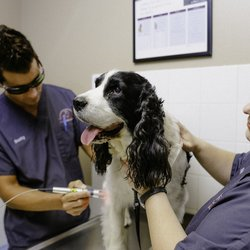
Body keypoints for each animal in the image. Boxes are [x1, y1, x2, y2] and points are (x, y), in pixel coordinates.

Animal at [72, 70, 189, 250]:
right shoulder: (113, 196)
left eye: (116, 90)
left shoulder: (176, 202)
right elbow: (117, 235)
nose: (76, 102)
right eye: (97, 84)